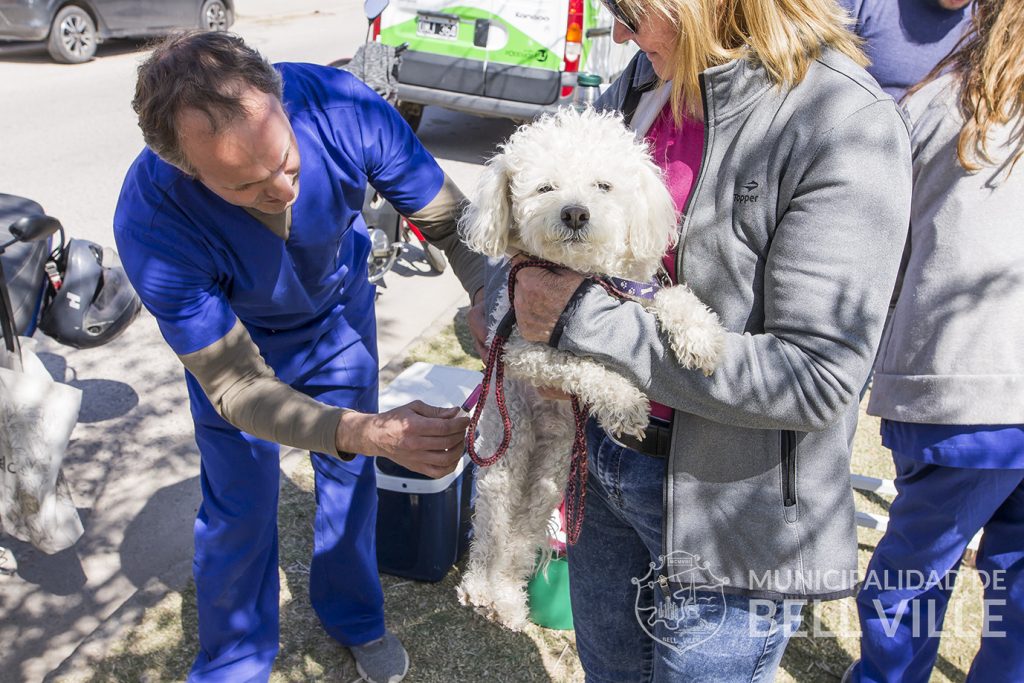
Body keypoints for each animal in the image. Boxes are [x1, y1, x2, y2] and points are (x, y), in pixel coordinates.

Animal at [456, 108, 729, 630]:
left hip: (551, 473)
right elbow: (586, 365)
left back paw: (509, 603)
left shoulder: (635, 288)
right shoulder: (524, 349)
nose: (575, 213)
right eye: (545, 188)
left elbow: (673, 297)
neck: (585, 276)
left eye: (603, 186)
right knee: (493, 532)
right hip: (506, 448)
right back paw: (483, 592)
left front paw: (701, 336)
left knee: (521, 538)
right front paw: (626, 404)